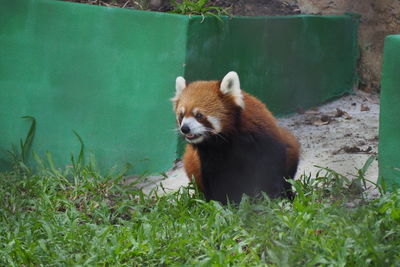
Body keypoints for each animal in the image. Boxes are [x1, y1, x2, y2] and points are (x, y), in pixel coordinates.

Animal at [170, 72, 298, 204]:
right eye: (181, 115)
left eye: (199, 115)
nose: (185, 128)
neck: (225, 140)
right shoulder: (209, 158)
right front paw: (222, 203)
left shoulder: (263, 142)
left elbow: (270, 171)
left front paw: (275, 198)